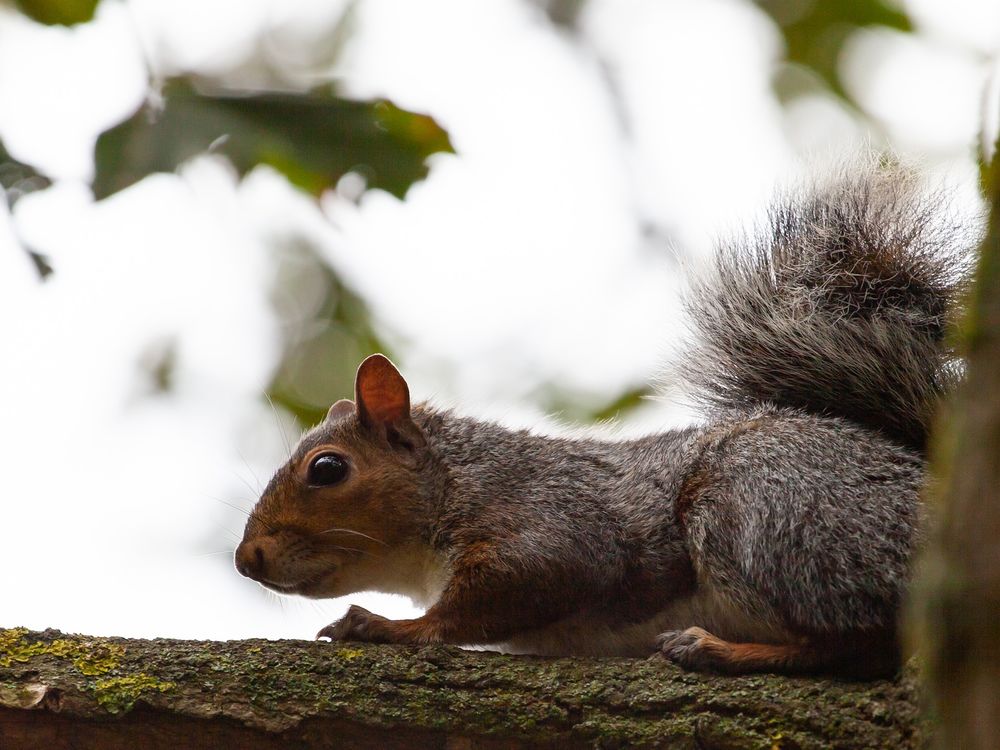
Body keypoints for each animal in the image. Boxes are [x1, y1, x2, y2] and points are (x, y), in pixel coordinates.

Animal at [234, 163, 972, 677]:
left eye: (327, 469)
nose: (247, 559)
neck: (460, 483)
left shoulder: (552, 523)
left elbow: (498, 598)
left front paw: (386, 628)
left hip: (768, 510)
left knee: (863, 644)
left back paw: (718, 649)